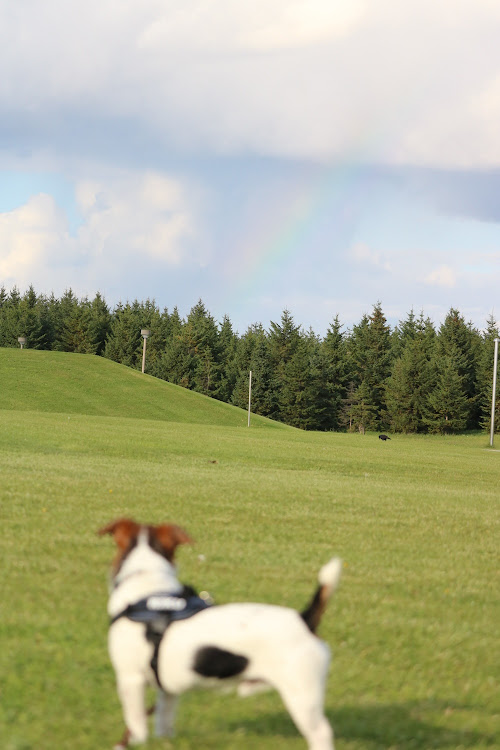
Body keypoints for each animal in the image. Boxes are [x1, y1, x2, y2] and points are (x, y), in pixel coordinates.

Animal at [100, 520, 344, 748]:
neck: (146, 580)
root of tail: (304, 620)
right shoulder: (167, 690)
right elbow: (164, 720)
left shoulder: (131, 679)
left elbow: (136, 724)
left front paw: (135, 743)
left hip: (301, 696)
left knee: (322, 733)